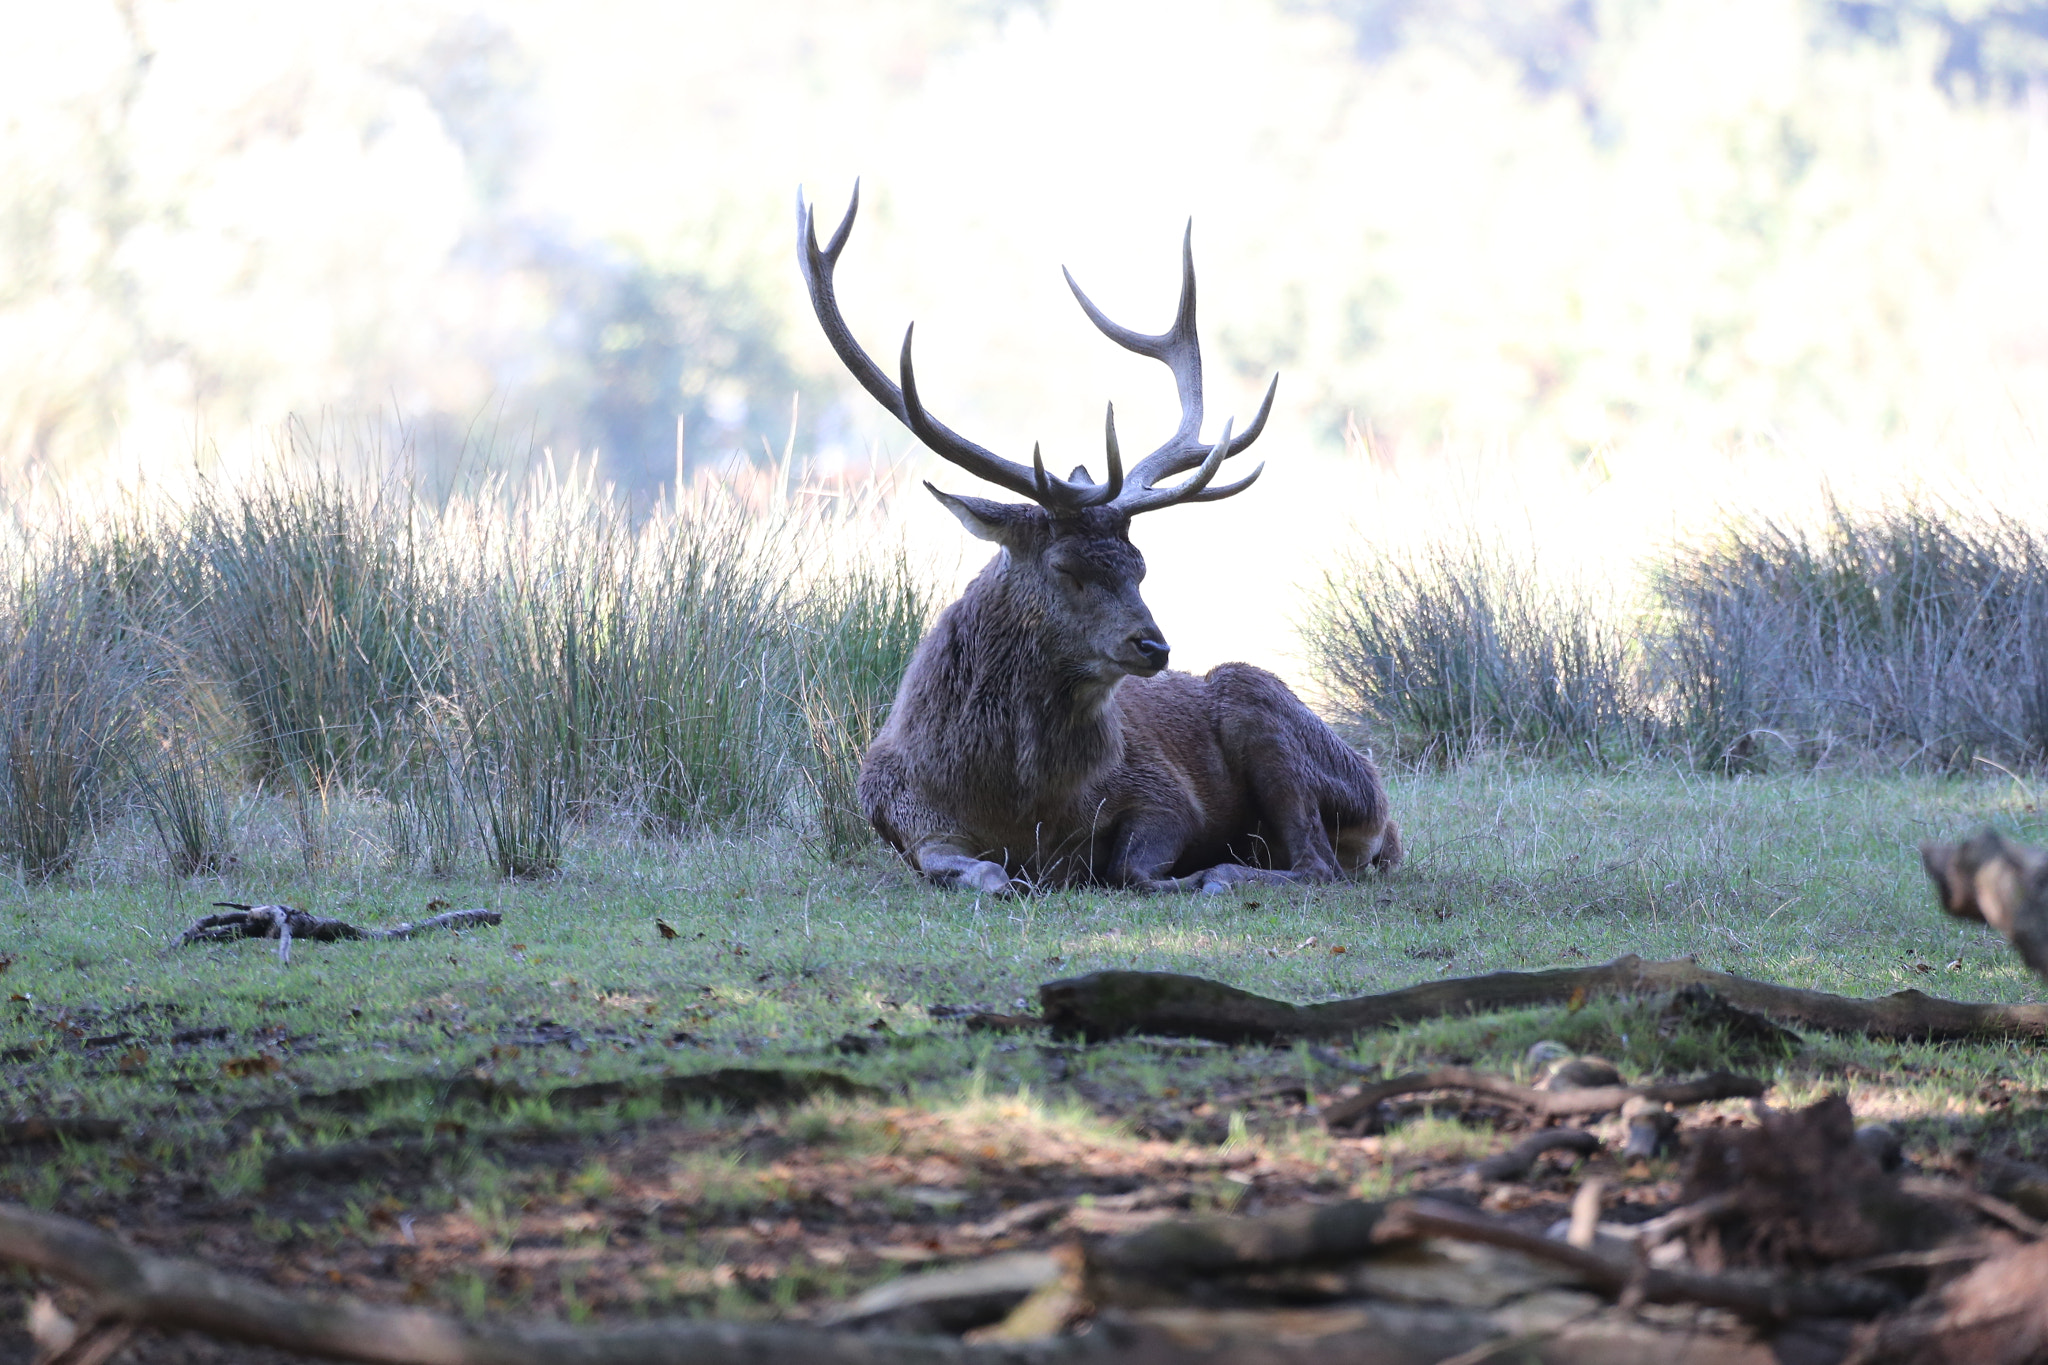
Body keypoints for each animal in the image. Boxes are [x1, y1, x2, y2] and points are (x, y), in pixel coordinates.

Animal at [797, 184, 1400, 894]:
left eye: (1141, 566)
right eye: (1067, 566)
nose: (1154, 645)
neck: (1016, 807)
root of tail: (1384, 816)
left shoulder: (1162, 792)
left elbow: (1131, 868)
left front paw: (1190, 873)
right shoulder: (907, 822)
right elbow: (979, 872)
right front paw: (1009, 878)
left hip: (1265, 708)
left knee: (1316, 862)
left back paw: (1226, 872)